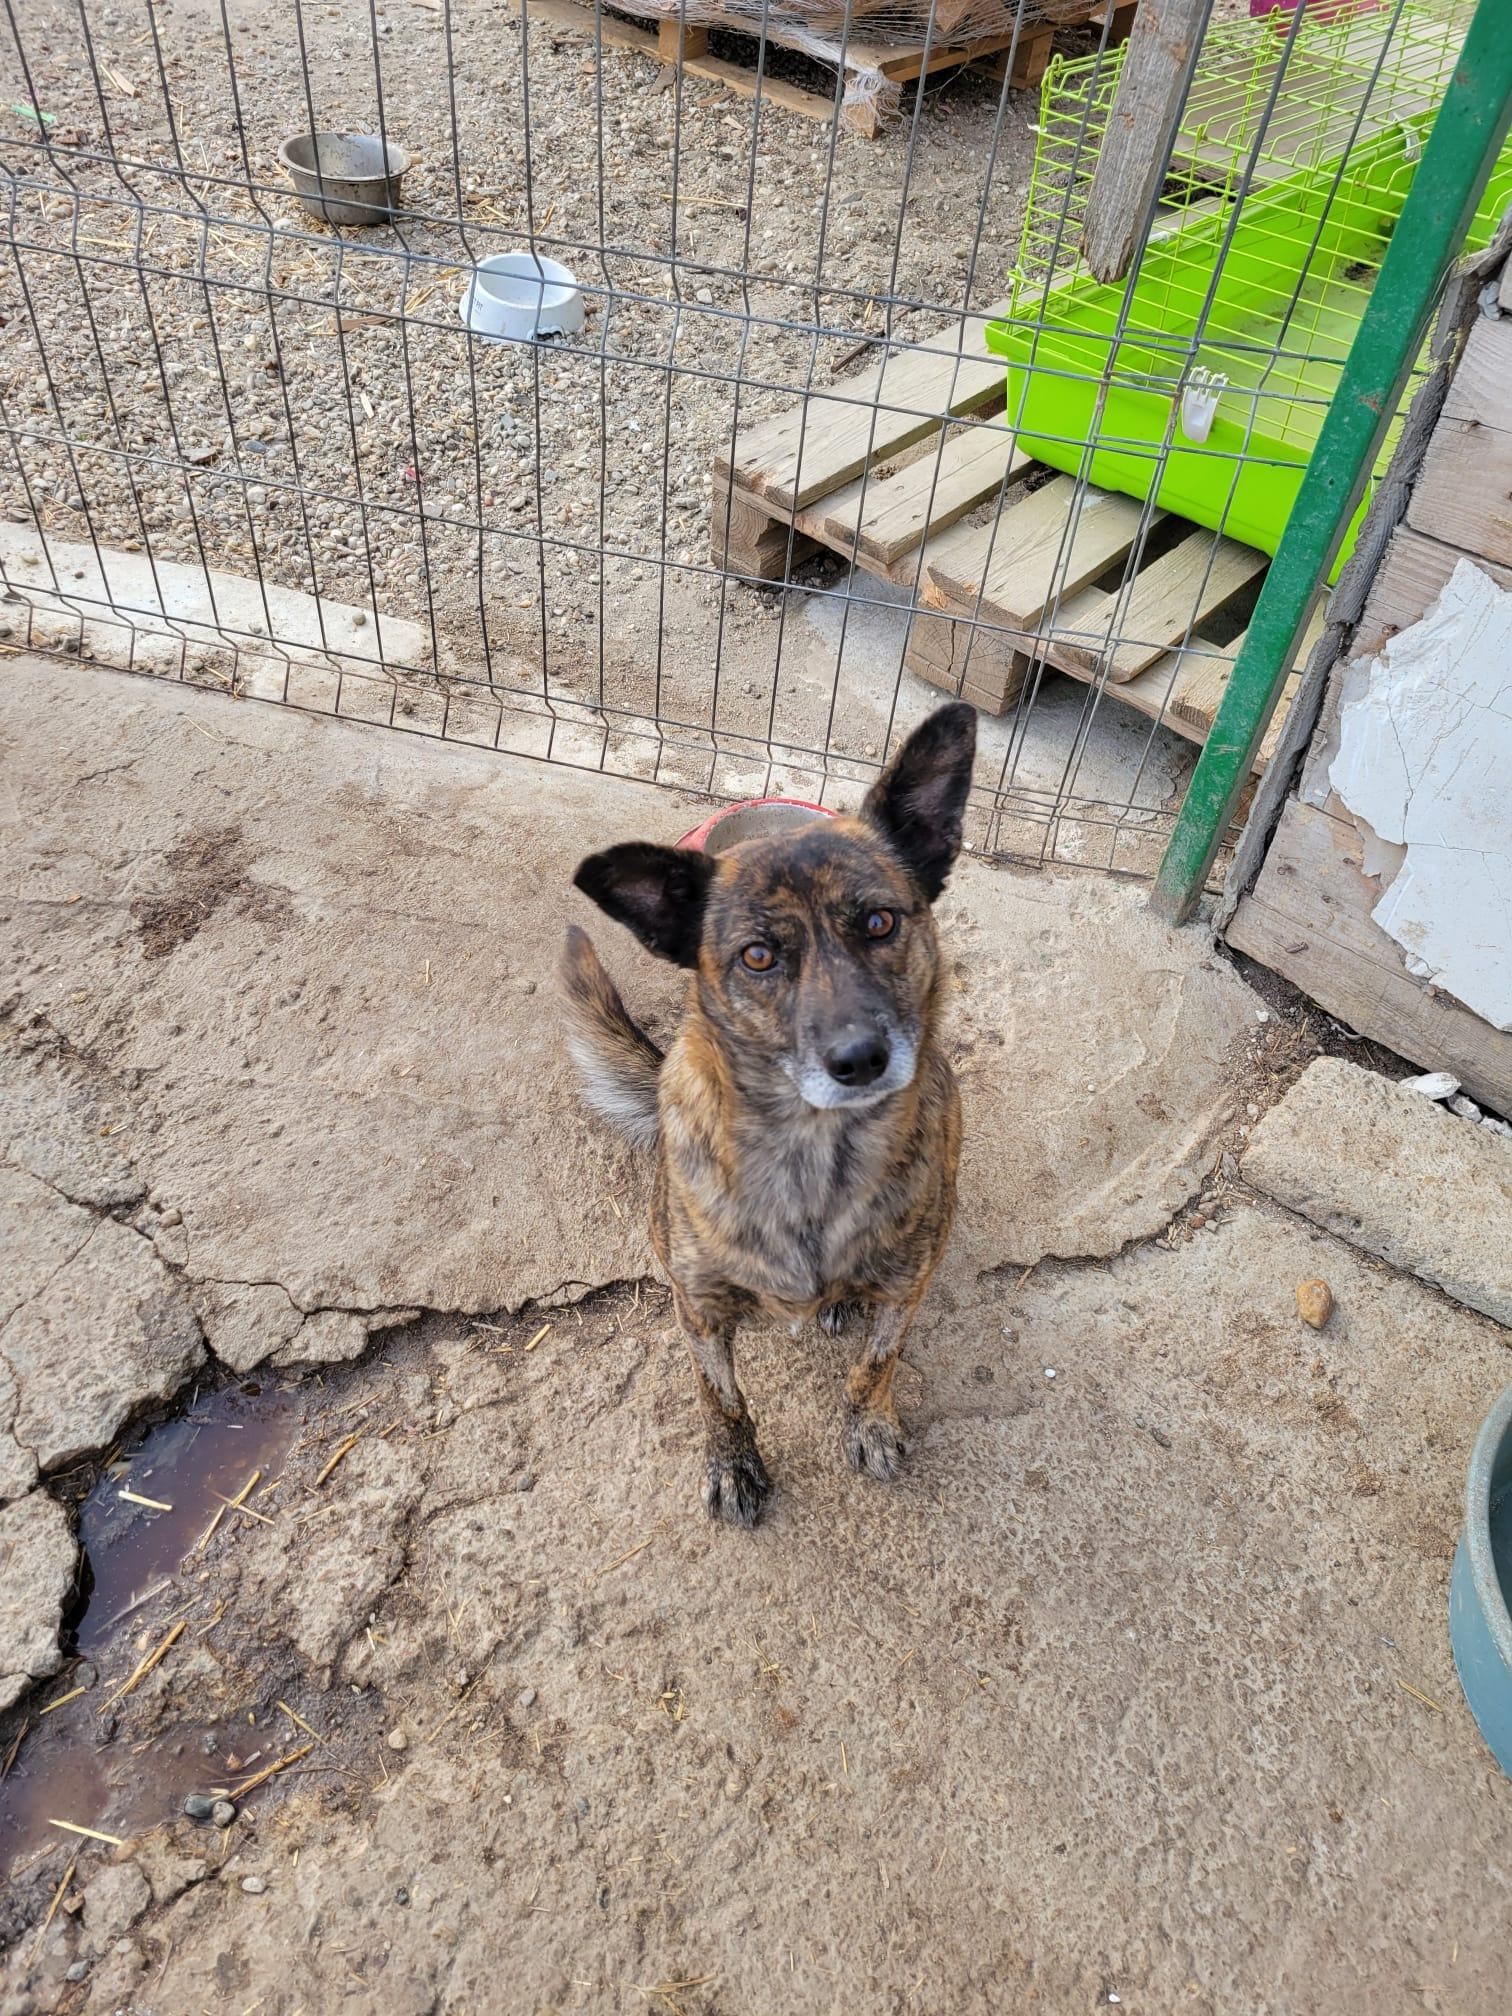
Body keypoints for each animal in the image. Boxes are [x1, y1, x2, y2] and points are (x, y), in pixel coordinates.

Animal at [559, 700, 975, 1526]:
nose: (859, 1059)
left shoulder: (909, 1283)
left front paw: (869, 1422)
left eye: (879, 923)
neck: (813, 1151)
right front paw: (733, 1465)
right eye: (758, 957)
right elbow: (718, 1396)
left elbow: (878, 1360)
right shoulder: (698, 1309)